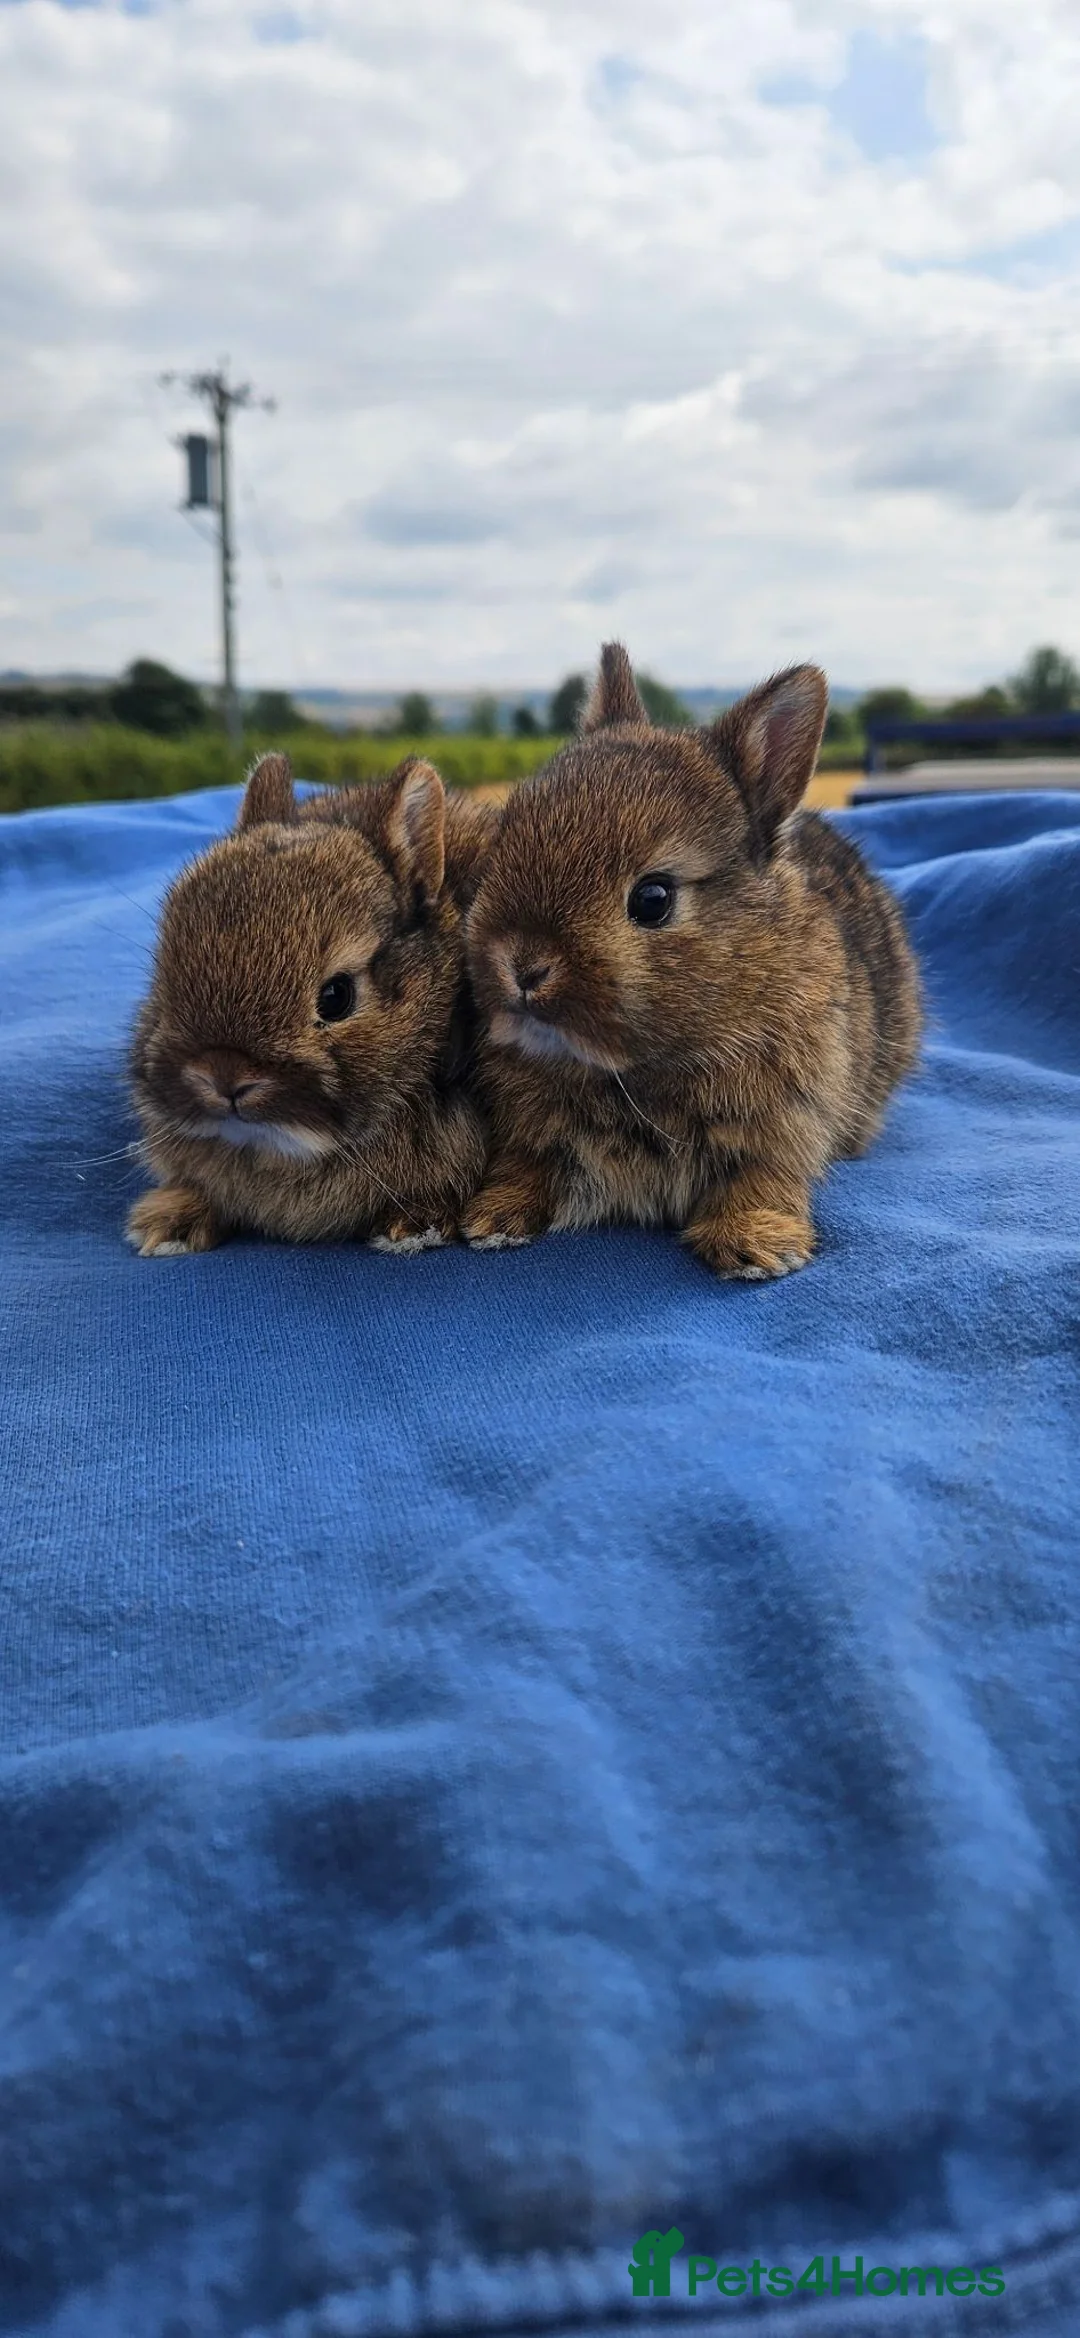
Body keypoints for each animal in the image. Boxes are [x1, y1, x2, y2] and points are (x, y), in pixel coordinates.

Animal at [461, 644, 922, 1280]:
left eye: (653, 899)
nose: (523, 965)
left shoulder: (782, 1124)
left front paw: (756, 1247)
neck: (634, 1073)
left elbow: (762, 1179)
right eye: (502, 841)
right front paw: (492, 1219)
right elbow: (528, 1166)